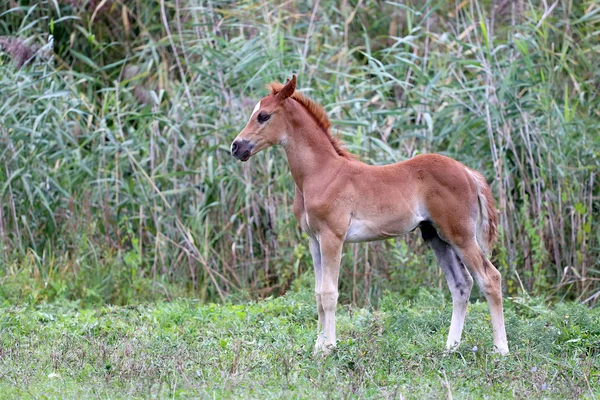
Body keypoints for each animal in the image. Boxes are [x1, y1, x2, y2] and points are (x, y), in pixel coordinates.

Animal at [230, 76, 506, 356]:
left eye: (263, 116)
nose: (236, 147)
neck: (320, 173)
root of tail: (467, 172)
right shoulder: (313, 240)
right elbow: (318, 294)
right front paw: (318, 347)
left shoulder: (332, 237)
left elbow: (329, 293)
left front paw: (328, 347)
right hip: (436, 236)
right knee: (461, 285)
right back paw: (450, 348)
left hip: (459, 234)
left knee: (490, 278)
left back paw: (501, 349)